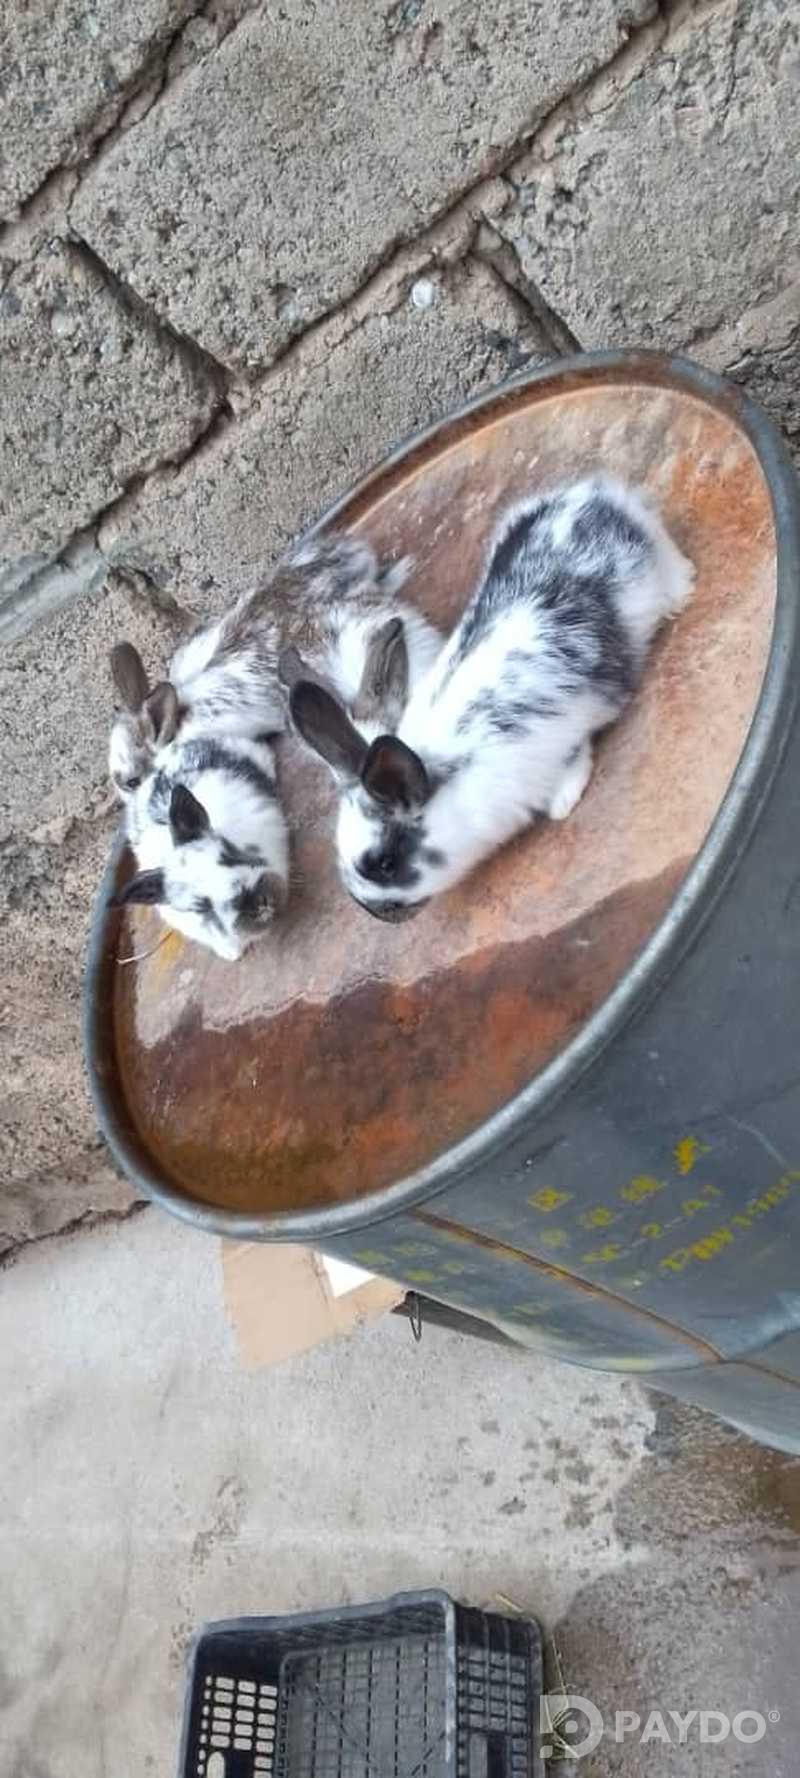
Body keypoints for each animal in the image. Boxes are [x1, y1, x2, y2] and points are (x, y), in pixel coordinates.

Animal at [288, 476, 694, 923]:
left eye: (385, 863)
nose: (379, 913)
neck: (452, 776)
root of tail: (591, 494)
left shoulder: (562, 736)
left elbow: (574, 757)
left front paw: (563, 802)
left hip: (649, 559)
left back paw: (681, 593)